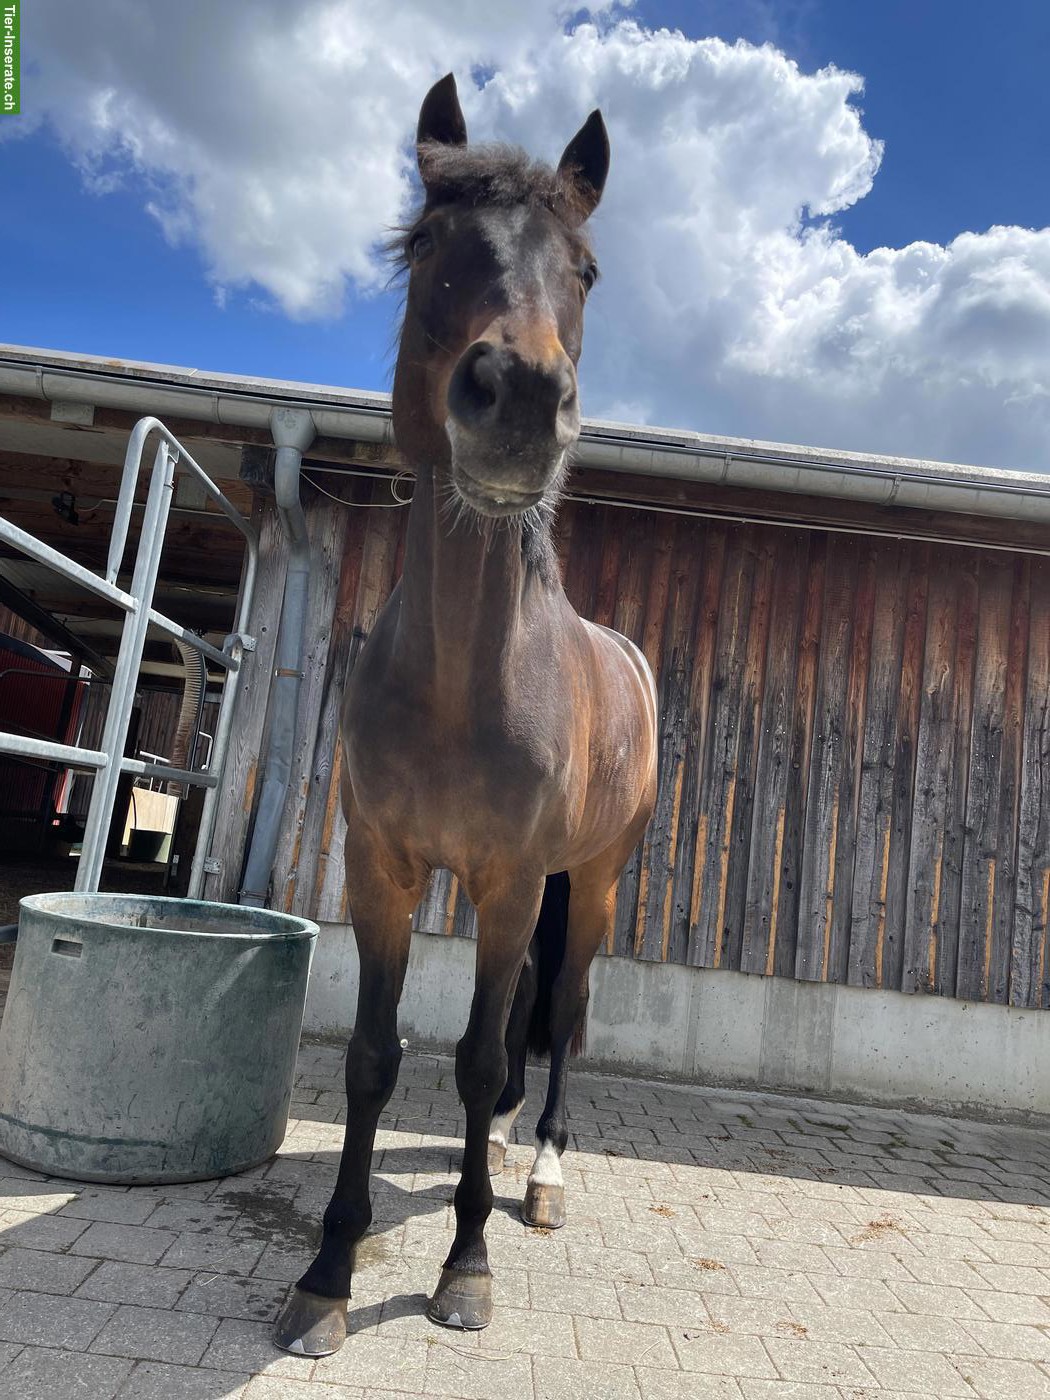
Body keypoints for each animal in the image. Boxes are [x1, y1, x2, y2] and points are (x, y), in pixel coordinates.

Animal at [274, 72, 658, 1356]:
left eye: (585, 269)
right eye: (434, 241)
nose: (523, 398)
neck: (464, 679)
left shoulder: (510, 880)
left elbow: (488, 1053)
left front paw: (467, 1265)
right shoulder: (381, 867)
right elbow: (375, 1057)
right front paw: (327, 1273)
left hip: (590, 881)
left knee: (562, 1017)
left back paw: (536, 1175)